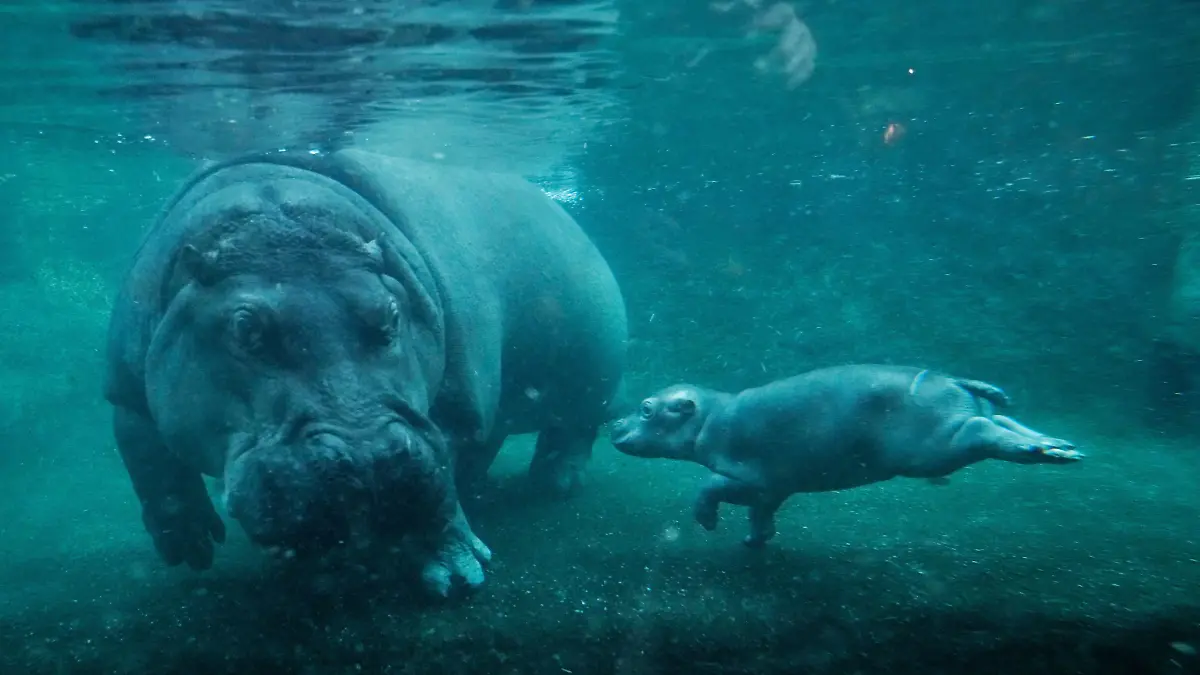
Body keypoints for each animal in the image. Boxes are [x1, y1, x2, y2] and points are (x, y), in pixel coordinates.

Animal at [103, 148, 628, 598]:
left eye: (392, 314)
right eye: (245, 327)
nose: (370, 459)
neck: (273, 224)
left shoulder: (453, 408)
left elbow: (441, 479)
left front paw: (455, 575)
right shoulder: (125, 391)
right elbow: (148, 460)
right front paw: (188, 545)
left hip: (592, 376)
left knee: (573, 430)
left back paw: (555, 484)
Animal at [609, 364, 1082, 548]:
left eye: (647, 408)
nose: (612, 423)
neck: (709, 414)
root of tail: (952, 379)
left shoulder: (749, 475)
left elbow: (709, 487)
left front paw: (707, 523)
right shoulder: (775, 486)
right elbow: (762, 514)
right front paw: (754, 541)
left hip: (937, 448)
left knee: (984, 430)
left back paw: (1047, 449)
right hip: (962, 421)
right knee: (1002, 418)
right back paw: (1060, 446)